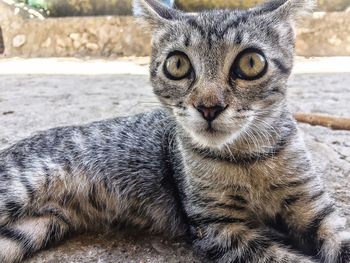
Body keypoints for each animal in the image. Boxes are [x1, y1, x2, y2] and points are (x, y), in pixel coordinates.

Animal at [0, 0, 350, 262]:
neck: (247, 159)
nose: (209, 106)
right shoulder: (217, 228)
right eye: (177, 65)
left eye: (251, 63)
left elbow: (340, 240)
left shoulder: (314, 206)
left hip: (35, 227)